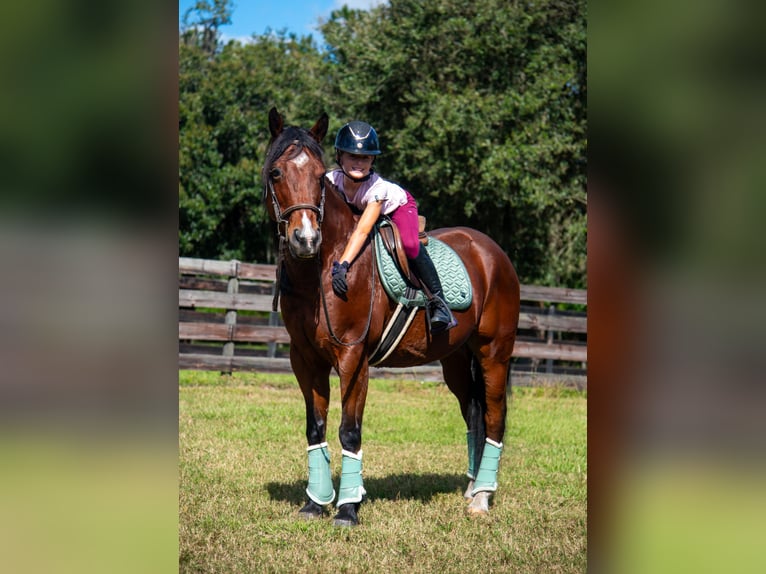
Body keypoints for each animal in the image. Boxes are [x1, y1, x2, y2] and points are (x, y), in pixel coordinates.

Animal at [262, 108, 520, 526]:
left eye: (318, 176)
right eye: (276, 173)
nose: (306, 240)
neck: (325, 268)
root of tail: (492, 251)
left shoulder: (353, 360)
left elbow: (350, 431)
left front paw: (348, 508)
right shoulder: (305, 359)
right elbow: (315, 428)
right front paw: (315, 503)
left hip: (493, 353)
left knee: (495, 416)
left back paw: (482, 498)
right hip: (455, 360)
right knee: (473, 413)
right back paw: (471, 488)